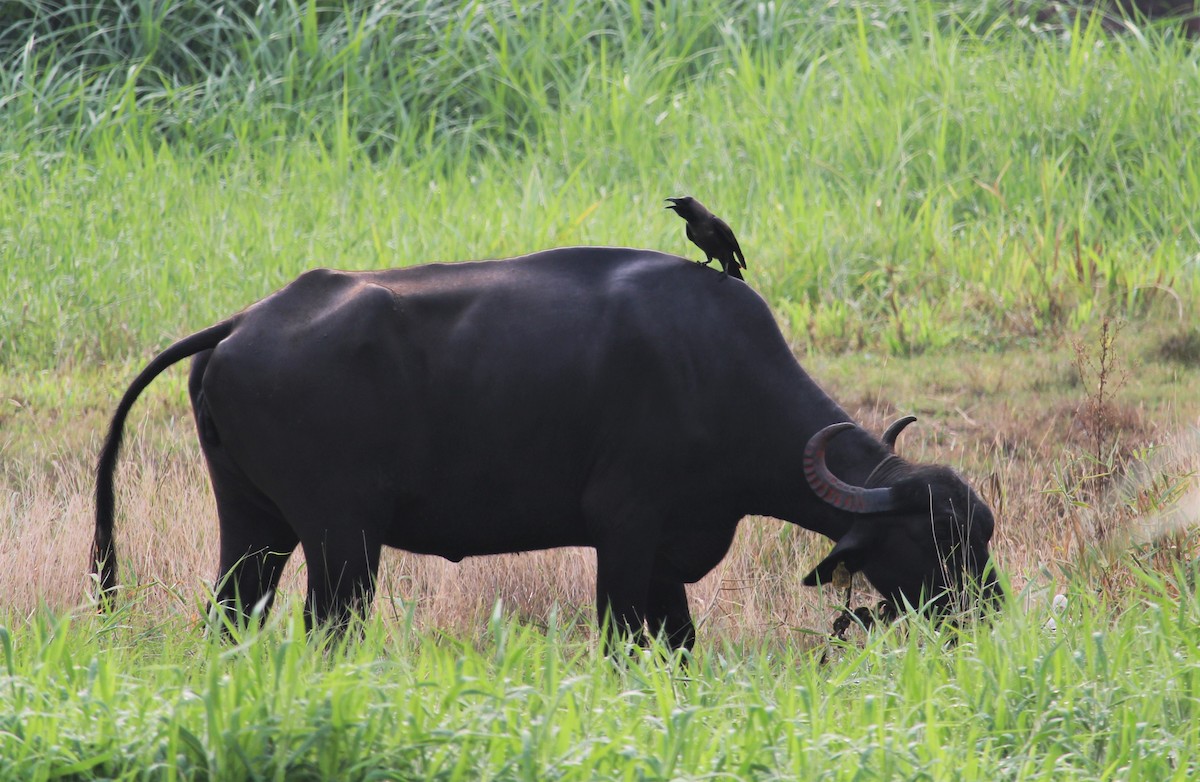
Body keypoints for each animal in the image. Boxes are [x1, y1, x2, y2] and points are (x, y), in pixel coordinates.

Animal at [93, 247, 998, 652]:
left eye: (982, 531)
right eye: (934, 537)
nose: (986, 612)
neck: (714, 372)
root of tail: (244, 323)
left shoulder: (667, 555)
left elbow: (677, 644)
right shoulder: (626, 532)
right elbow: (624, 637)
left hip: (257, 526)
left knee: (229, 617)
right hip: (340, 536)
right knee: (329, 627)